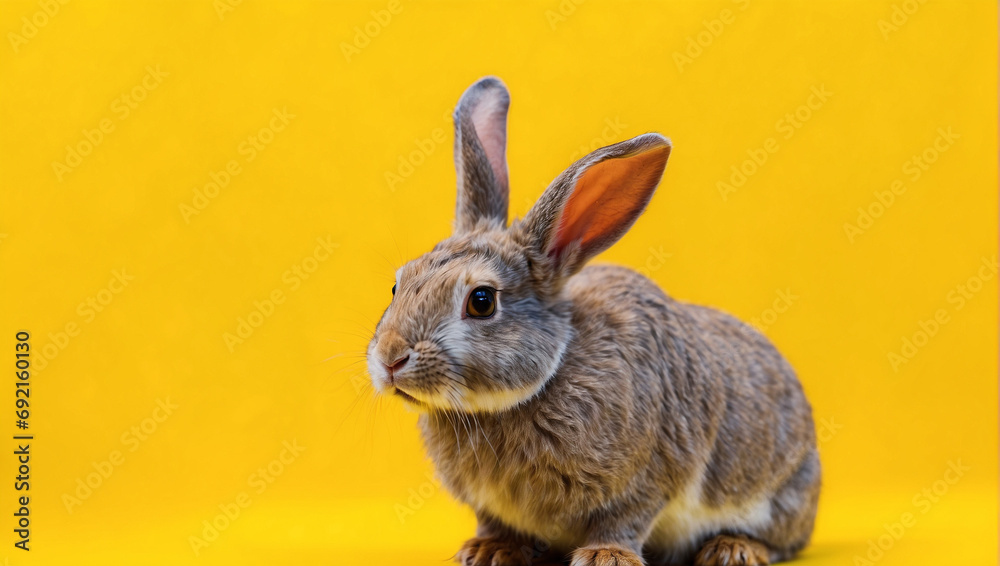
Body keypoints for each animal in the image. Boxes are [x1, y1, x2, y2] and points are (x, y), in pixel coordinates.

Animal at [366, 77, 820, 566]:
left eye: (482, 301)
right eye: (397, 285)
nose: (390, 358)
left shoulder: (647, 476)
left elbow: (625, 518)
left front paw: (606, 556)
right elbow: (494, 522)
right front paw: (489, 549)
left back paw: (733, 548)